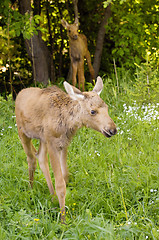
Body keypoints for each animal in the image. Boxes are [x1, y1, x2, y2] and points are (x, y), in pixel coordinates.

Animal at [14, 77, 117, 223]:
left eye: (107, 107)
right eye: (93, 111)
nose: (112, 129)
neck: (68, 124)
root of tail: (20, 93)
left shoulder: (63, 143)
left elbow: (65, 177)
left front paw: (60, 206)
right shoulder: (52, 143)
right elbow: (60, 185)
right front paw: (63, 220)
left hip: (42, 138)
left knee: (41, 158)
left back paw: (51, 196)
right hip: (23, 133)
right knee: (31, 158)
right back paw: (31, 189)